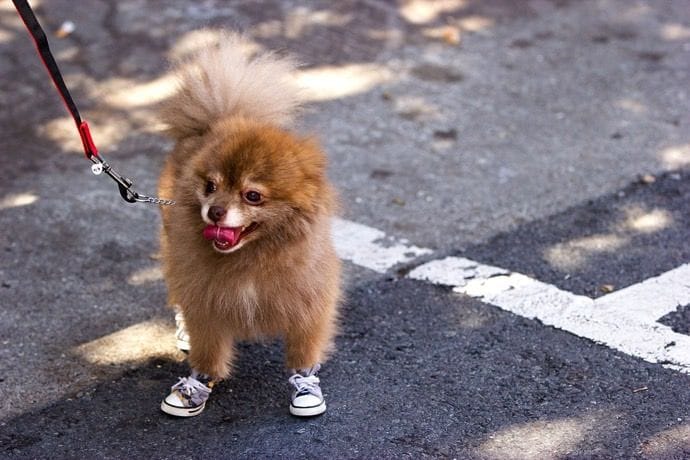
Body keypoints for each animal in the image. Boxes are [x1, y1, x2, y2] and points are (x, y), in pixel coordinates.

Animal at [156, 34, 338, 418]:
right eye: (210, 186)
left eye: (252, 195)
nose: (215, 212)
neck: (252, 257)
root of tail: (221, 115)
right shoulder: (206, 301)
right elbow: (207, 349)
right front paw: (197, 385)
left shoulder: (308, 298)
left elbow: (304, 349)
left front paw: (305, 386)